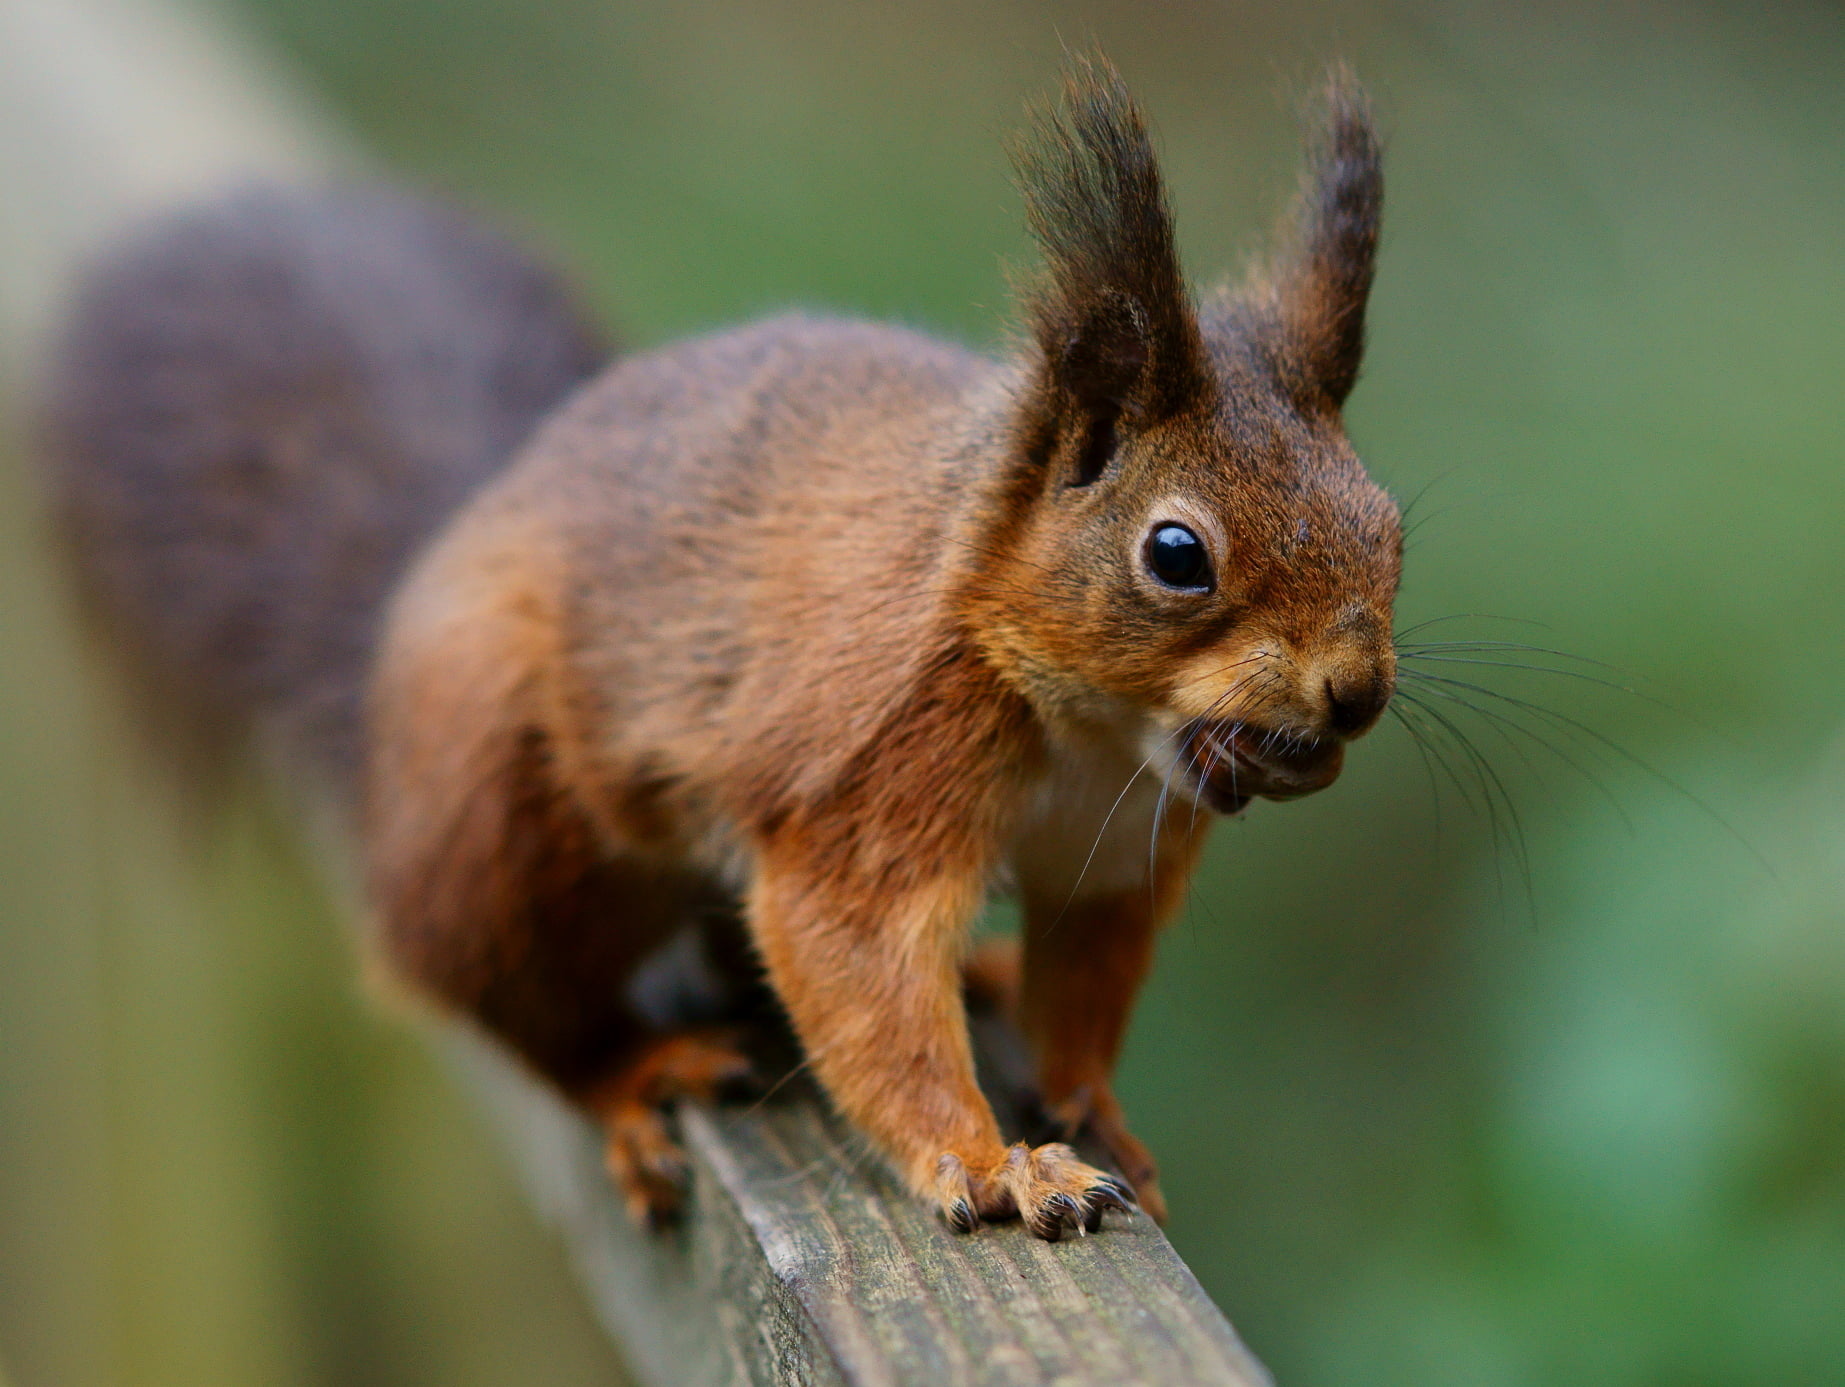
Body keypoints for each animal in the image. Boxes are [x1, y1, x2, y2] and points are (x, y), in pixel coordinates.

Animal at [42, 56, 1399, 1241]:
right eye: (1177, 554)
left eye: (1386, 520)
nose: (1357, 693)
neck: (1094, 737)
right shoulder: (884, 766)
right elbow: (856, 960)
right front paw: (994, 1163)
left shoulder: (1117, 851)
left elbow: (1087, 987)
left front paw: (1090, 1104)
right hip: (505, 821)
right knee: (498, 992)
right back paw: (631, 1074)